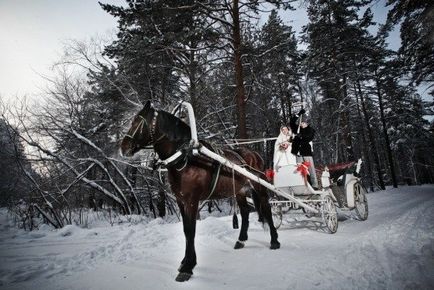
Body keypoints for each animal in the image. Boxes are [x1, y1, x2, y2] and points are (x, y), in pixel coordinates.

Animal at [120, 101, 280, 280]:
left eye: (138, 122)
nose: (123, 147)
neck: (186, 156)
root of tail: (253, 153)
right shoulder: (180, 200)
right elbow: (185, 230)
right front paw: (185, 261)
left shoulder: (192, 200)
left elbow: (191, 231)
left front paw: (188, 267)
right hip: (239, 191)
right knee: (245, 212)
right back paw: (241, 240)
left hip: (259, 187)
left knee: (266, 208)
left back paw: (274, 240)